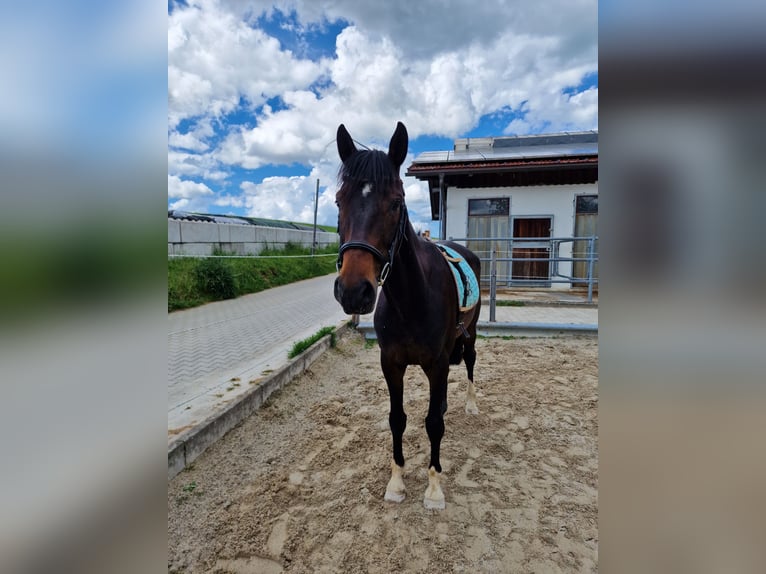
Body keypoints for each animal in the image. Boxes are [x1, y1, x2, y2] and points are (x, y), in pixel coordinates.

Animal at [333, 121, 482, 510]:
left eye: (396, 202)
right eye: (339, 200)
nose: (353, 291)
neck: (411, 299)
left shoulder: (437, 362)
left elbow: (432, 424)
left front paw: (434, 488)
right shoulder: (391, 363)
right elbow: (397, 419)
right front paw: (397, 482)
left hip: (471, 334)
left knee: (471, 362)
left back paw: (471, 405)